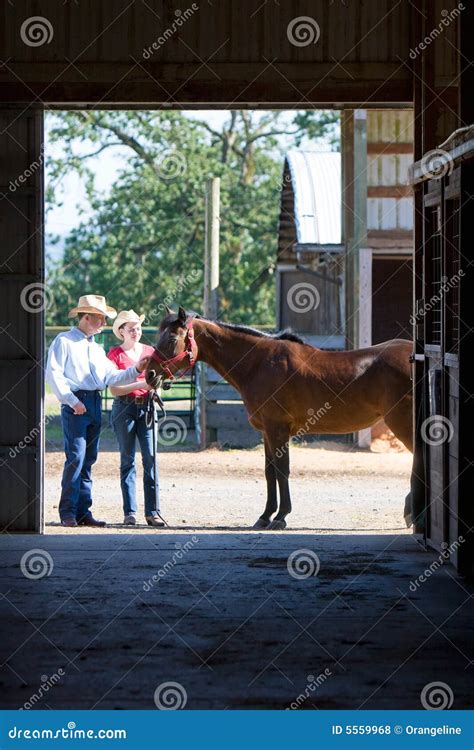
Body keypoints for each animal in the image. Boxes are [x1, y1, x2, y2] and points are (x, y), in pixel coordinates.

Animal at [145, 306, 414, 530]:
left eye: (171, 339)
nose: (149, 374)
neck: (259, 363)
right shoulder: (266, 432)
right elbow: (269, 471)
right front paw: (265, 516)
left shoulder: (278, 429)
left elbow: (282, 470)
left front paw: (281, 516)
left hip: (402, 422)